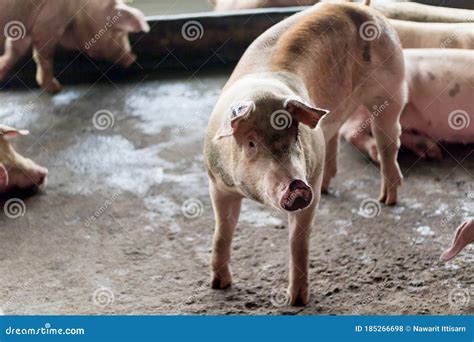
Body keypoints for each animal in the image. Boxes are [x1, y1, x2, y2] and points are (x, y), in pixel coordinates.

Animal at [0, 0, 150, 93]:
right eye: (119, 31)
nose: (133, 58)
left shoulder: (22, 30)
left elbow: (15, 51)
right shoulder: (48, 24)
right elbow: (44, 56)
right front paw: (56, 89)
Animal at [205, 0, 408, 304]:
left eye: (296, 135)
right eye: (251, 143)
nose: (296, 185)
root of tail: (364, 8)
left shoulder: (308, 184)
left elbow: (298, 241)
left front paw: (296, 301)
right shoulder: (217, 183)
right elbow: (222, 231)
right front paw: (218, 286)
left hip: (391, 90)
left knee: (389, 142)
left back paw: (387, 200)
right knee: (335, 134)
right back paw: (328, 187)